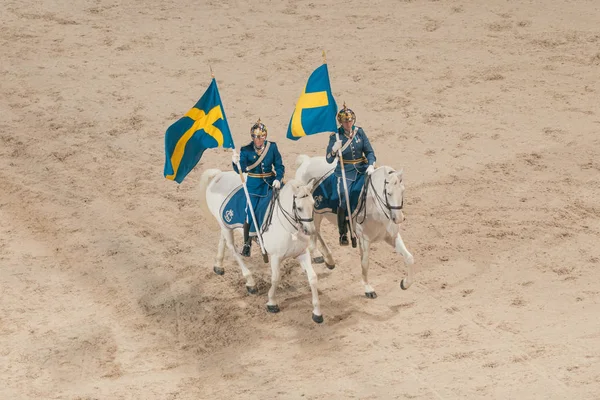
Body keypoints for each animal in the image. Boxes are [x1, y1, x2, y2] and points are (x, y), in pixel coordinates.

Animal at [199, 168, 324, 322]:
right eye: (299, 208)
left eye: (313, 204)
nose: (310, 231)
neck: (289, 228)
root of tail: (219, 175)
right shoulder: (275, 257)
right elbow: (276, 278)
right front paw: (271, 302)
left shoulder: (302, 253)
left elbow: (313, 278)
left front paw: (317, 312)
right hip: (227, 226)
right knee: (232, 248)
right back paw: (250, 282)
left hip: (224, 225)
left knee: (223, 241)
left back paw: (218, 265)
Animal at [294, 155, 412, 298]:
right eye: (388, 193)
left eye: (403, 191)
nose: (398, 218)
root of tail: (306, 161)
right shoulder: (364, 240)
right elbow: (365, 263)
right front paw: (368, 289)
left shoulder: (392, 236)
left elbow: (409, 258)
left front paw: (405, 284)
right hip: (312, 213)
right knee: (314, 232)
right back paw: (327, 258)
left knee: (314, 232)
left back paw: (320, 256)